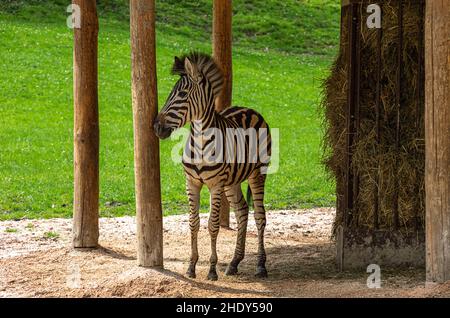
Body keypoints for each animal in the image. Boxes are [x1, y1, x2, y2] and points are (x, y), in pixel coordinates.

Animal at [154, 52, 270, 280]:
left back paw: (261, 265)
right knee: (242, 211)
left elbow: (213, 225)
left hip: (258, 174)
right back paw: (234, 263)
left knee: (260, 216)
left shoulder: (215, 185)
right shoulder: (192, 183)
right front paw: (191, 266)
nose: (156, 127)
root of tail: (250, 109)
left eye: (182, 94)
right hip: (232, 181)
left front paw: (211, 269)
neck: (200, 142)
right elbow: (194, 223)